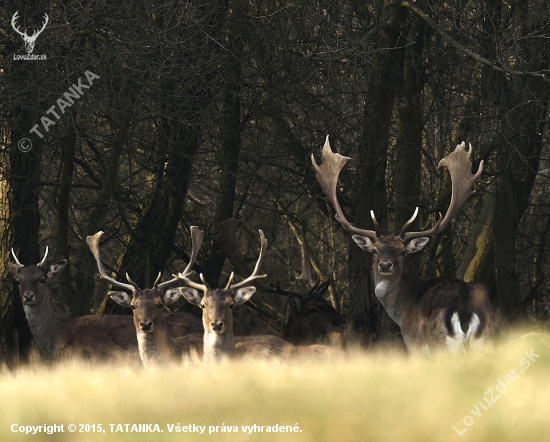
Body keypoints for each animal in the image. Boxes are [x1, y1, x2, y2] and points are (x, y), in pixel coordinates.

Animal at [312, 136, 498, 354]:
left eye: (402, 252)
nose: (385, 265)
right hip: (489, 340)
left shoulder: (413, 342)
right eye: (375, 250)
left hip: (441, 343)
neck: (402, 310)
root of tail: (466, 310)